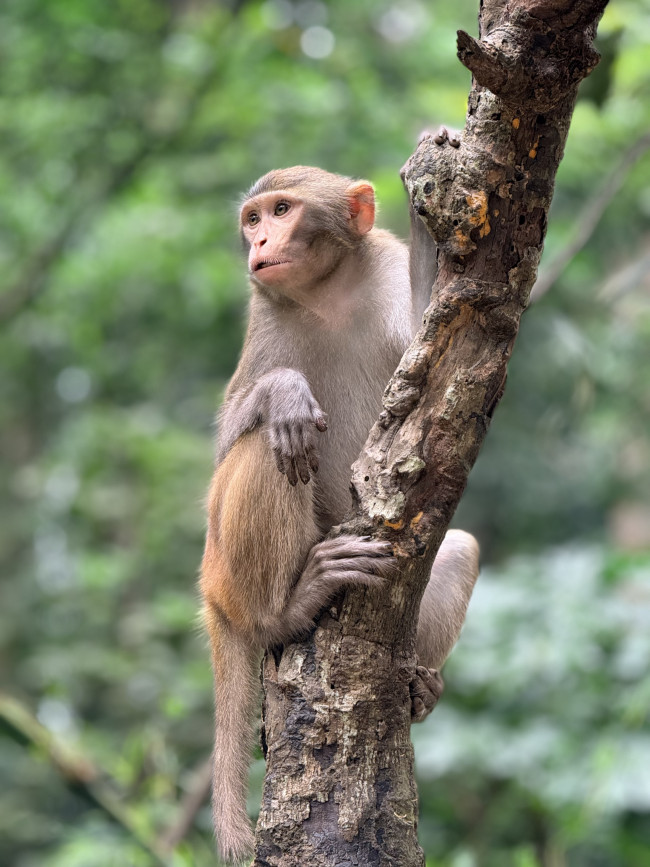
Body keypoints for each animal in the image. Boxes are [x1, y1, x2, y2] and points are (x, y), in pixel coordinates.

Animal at [200, 141, 479, 863]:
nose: (258, 241)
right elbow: (229, 441)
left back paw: (416, 683)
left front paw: (426, 207)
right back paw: (288, 608)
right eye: (253, 218)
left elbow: (439, 345)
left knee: (458, 547)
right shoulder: (265, 315)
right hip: (229, 567)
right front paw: (285, 393)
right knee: (265, 447)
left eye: (281, 211)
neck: (325, 294)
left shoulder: (382, 279)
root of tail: (211, 591)